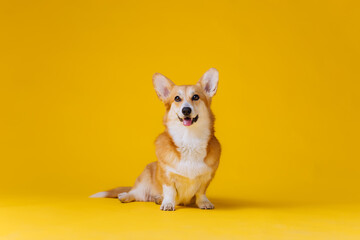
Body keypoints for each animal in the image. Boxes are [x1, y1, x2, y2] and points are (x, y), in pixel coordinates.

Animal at [90, 67, 219, 210]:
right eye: (177, 98)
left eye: (196, 97)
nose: (186, 110)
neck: (189, 138)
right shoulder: (166, 175)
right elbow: (170, 190)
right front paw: (168, 204)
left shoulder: (207, 177)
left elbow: (201, 192)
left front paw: (204, 203)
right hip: (144, 179)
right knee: (135, 193)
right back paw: (125, 196)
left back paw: (157, 198)